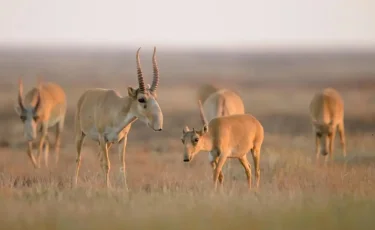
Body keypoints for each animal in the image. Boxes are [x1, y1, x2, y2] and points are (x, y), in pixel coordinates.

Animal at [75, 46, 164, 189]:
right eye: (141, 99)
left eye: (155, 97)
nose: (158, 125)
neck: (116, 110)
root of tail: (85, 95)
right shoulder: (102, 137)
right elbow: (107, 164)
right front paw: (107, 189)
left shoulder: (122, 140)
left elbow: (122, 165)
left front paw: (124, 189)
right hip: (81, 135)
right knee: (78, 159)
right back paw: (74, 185)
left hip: (108, 143)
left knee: (99, 157)